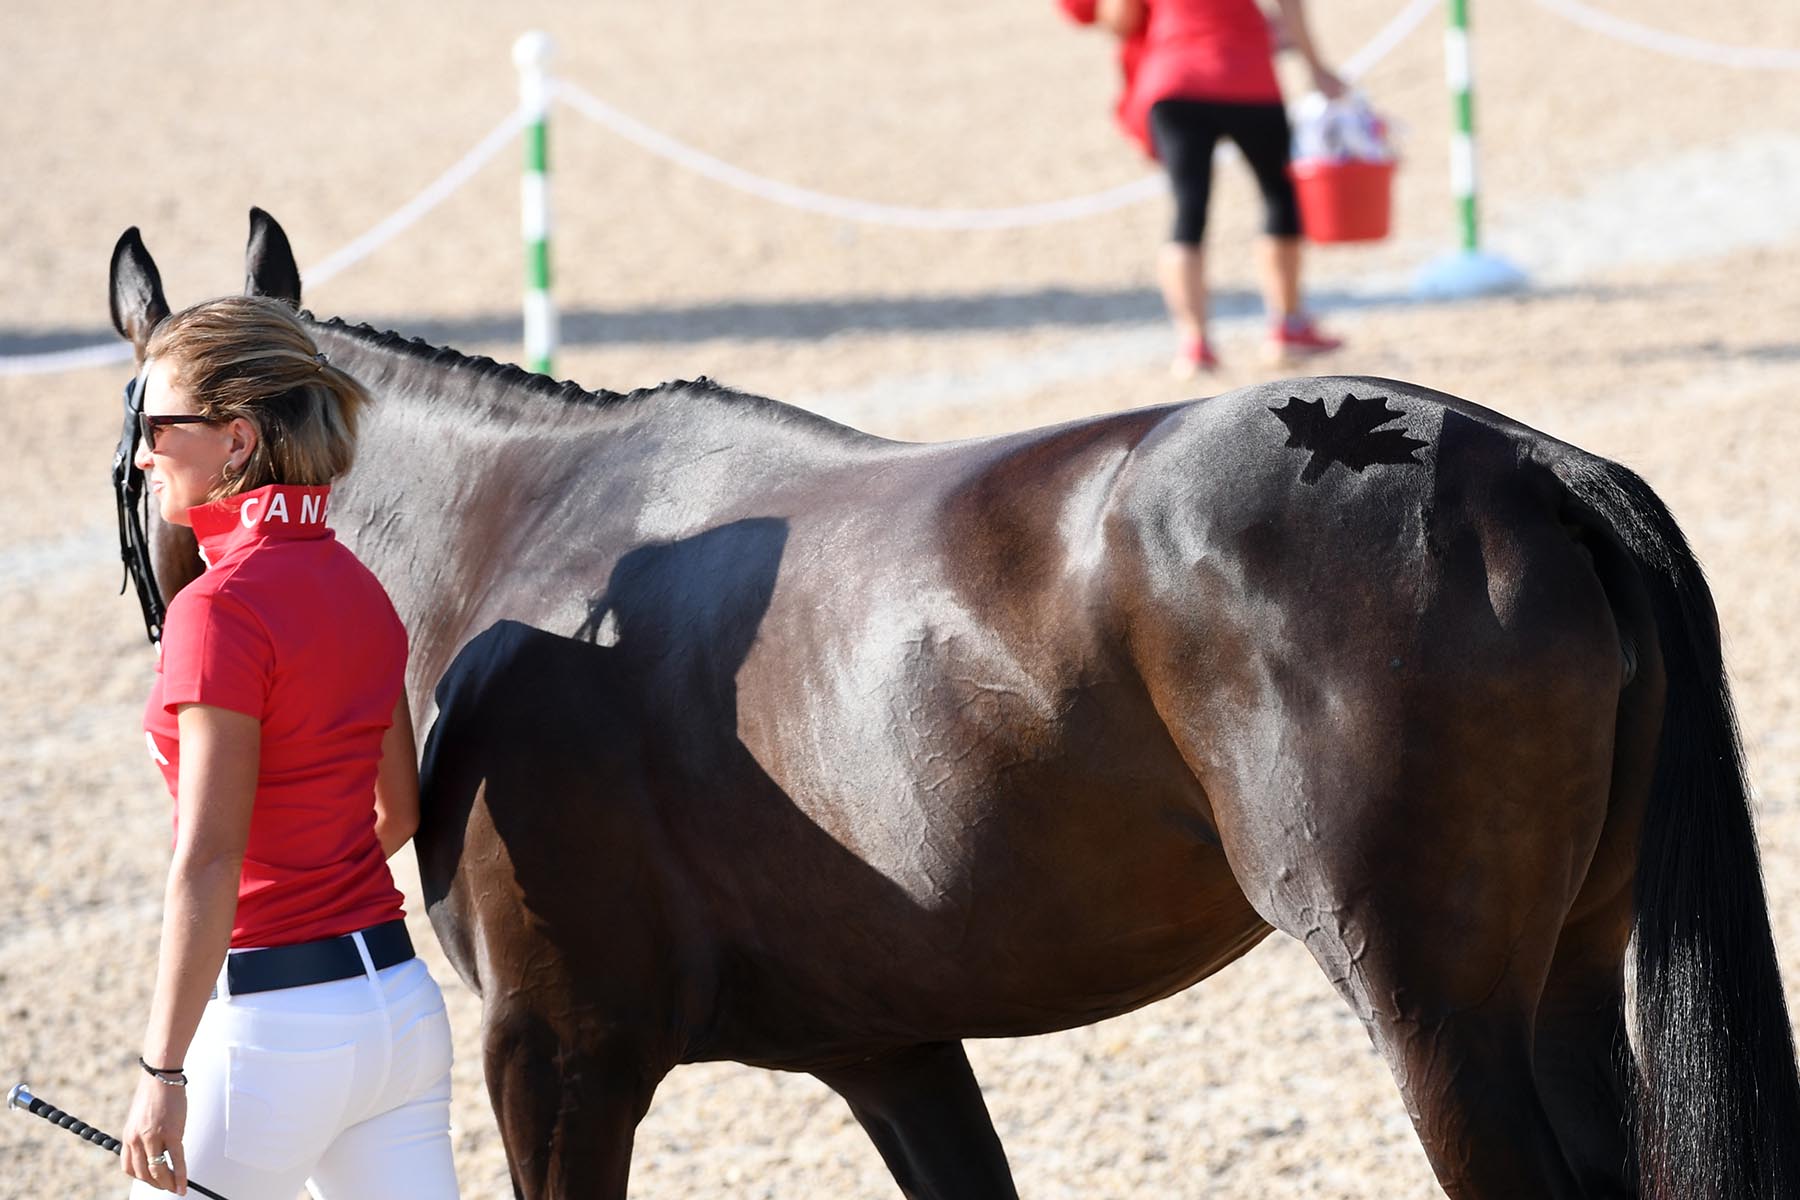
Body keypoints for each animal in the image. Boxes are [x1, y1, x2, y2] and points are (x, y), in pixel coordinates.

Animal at [112, 211, 1800, 1194]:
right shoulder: (894, 1049)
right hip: (1566, 985)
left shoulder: (558, 1058)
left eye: (125, 442)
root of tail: (1526, 467)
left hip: (1438, 1014)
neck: (525, 539)